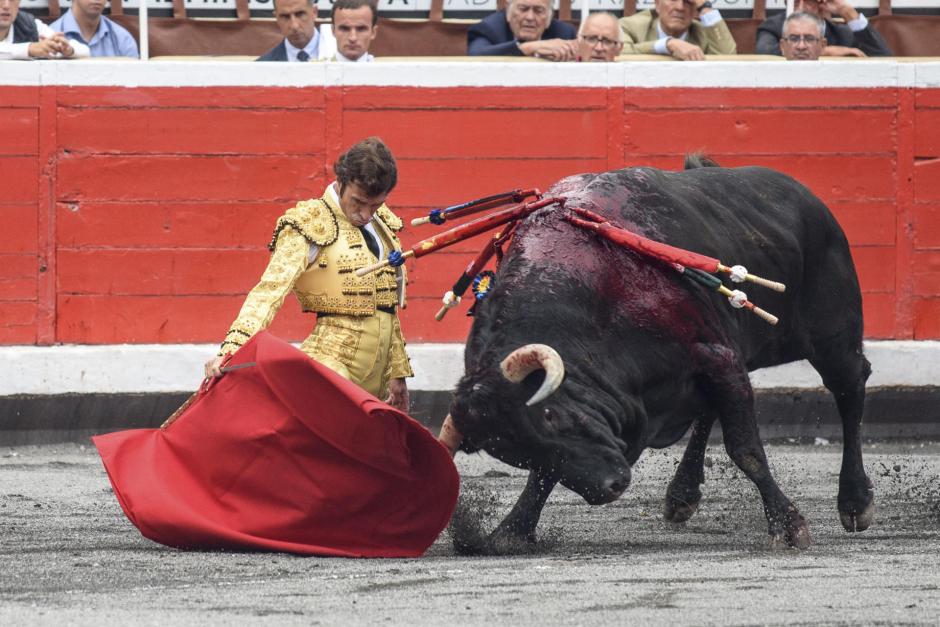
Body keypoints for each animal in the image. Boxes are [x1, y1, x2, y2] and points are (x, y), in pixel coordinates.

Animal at [448, 164, 872, 552]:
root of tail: (805, 196)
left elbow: (745, 449)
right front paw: (513, 528)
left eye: (550, 416)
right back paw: (682, 494)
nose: (610, 487)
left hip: (831, 335)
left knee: (851, 386)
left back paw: (855, 502)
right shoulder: (716, 365)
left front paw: (787, 525)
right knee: (710, 410)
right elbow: (544, 474)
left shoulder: (716, 357)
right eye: (515, 454)